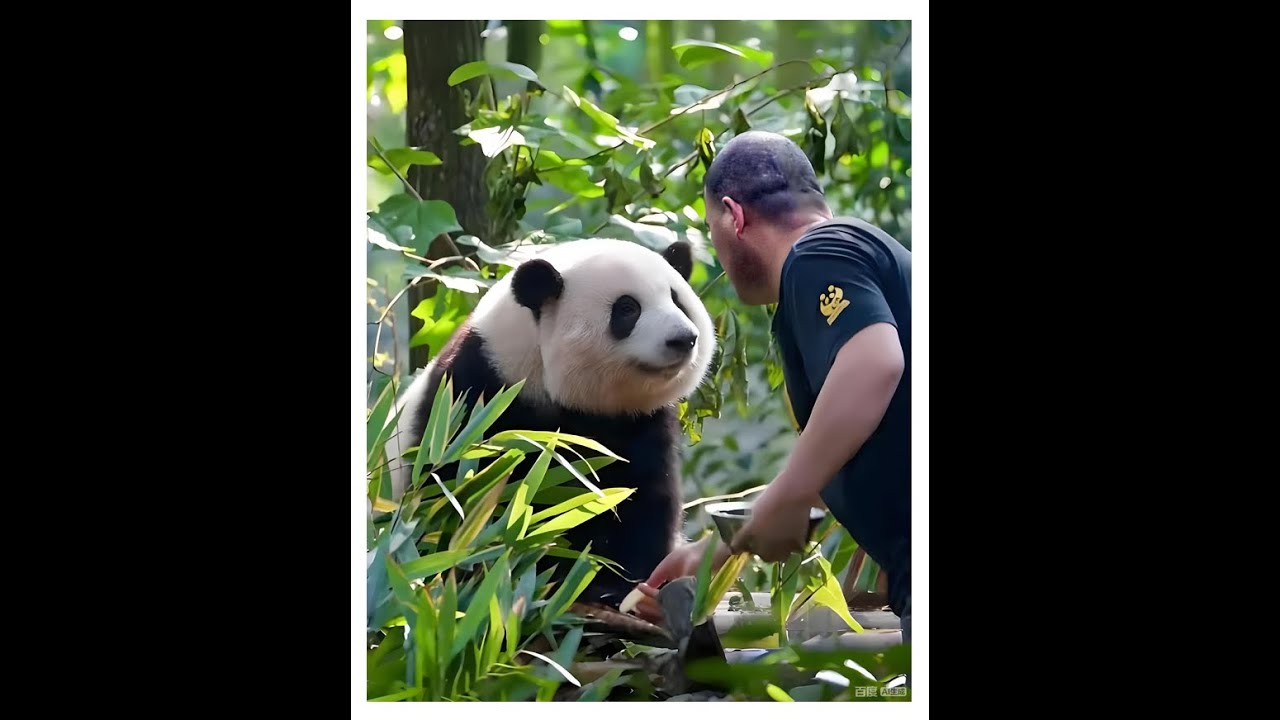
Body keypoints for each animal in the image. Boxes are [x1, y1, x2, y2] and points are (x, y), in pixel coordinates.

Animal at [382, 237, 717, 606]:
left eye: (677, 299)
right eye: (628, 308)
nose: (683, 338)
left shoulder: (640, 421)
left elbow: (641, 497)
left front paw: (611, 583)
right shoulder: (475, 396)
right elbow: (463, 490)